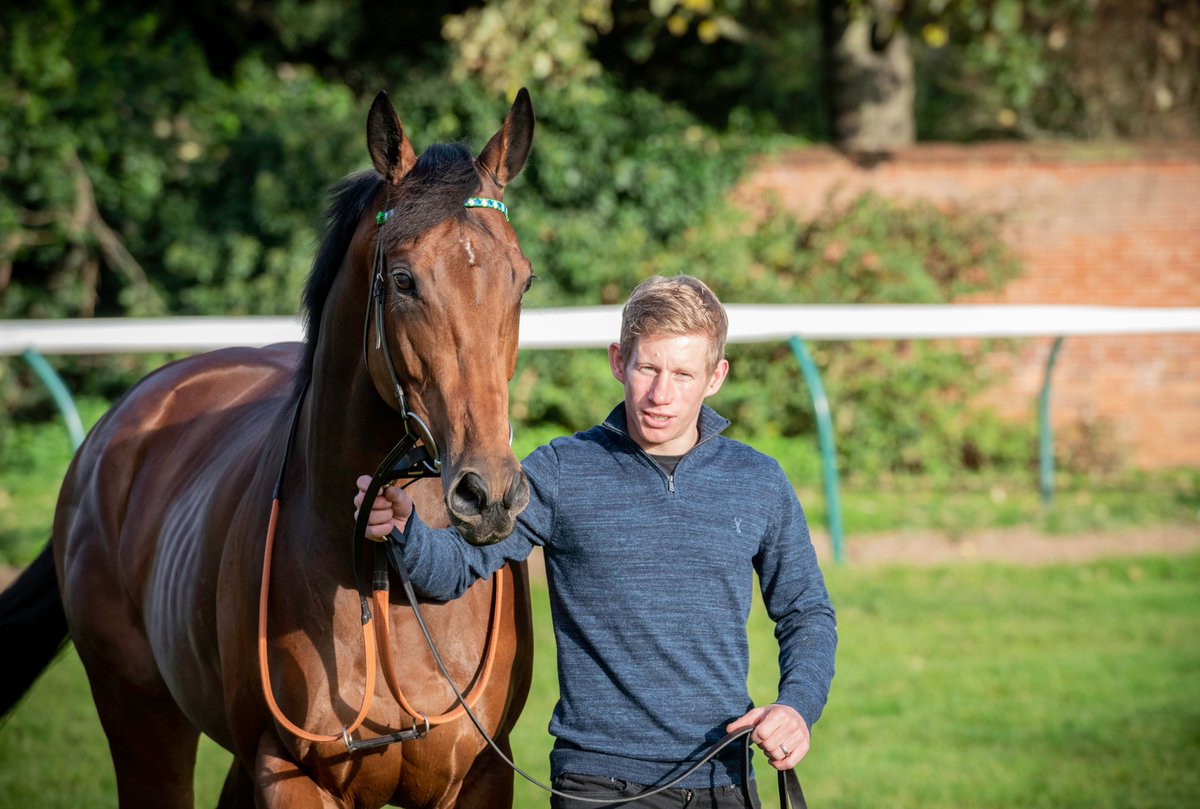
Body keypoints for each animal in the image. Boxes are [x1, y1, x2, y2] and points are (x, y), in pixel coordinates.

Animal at [0, 88, 537, 808]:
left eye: (522, 280)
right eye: (403, 279)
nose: (489, 493)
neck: (384, 586)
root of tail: (112, 431)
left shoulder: (481, 774)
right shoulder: (289, 771)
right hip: (141, 722)